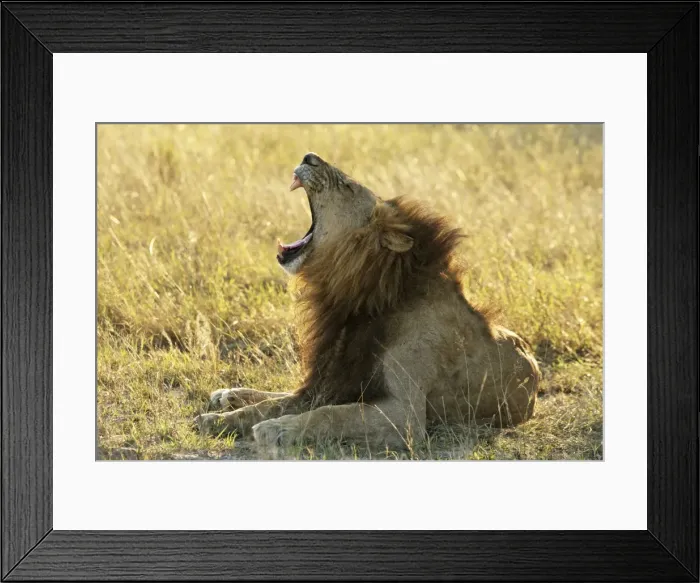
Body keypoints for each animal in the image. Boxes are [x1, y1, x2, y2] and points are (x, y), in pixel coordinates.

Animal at [195, 152, 540, 450]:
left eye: (347, 186)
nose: (309, 156)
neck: (356, 293)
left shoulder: (405, 415)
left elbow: (329, 415)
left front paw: (276, 428)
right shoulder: (335, 377)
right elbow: (272, 404)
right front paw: (216, 420)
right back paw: (227, 394)